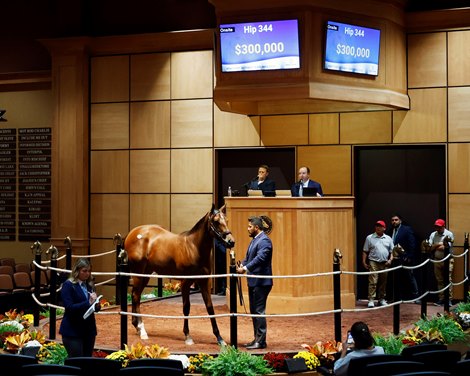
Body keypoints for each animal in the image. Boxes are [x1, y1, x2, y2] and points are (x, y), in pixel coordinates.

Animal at [124, 204, 235, 346]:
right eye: (216, 221)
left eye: (226, 220)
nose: (231, 241)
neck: (194, 248)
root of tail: (132, 232)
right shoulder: (185, 283)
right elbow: (186, 307)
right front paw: (187, 336)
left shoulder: (204, 281)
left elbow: (210, 307)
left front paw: (219, 338)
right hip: (138, 274)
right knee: (136, 296)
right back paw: (142, 330)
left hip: (146, 275)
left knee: (135, 296)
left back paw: (138, 327)